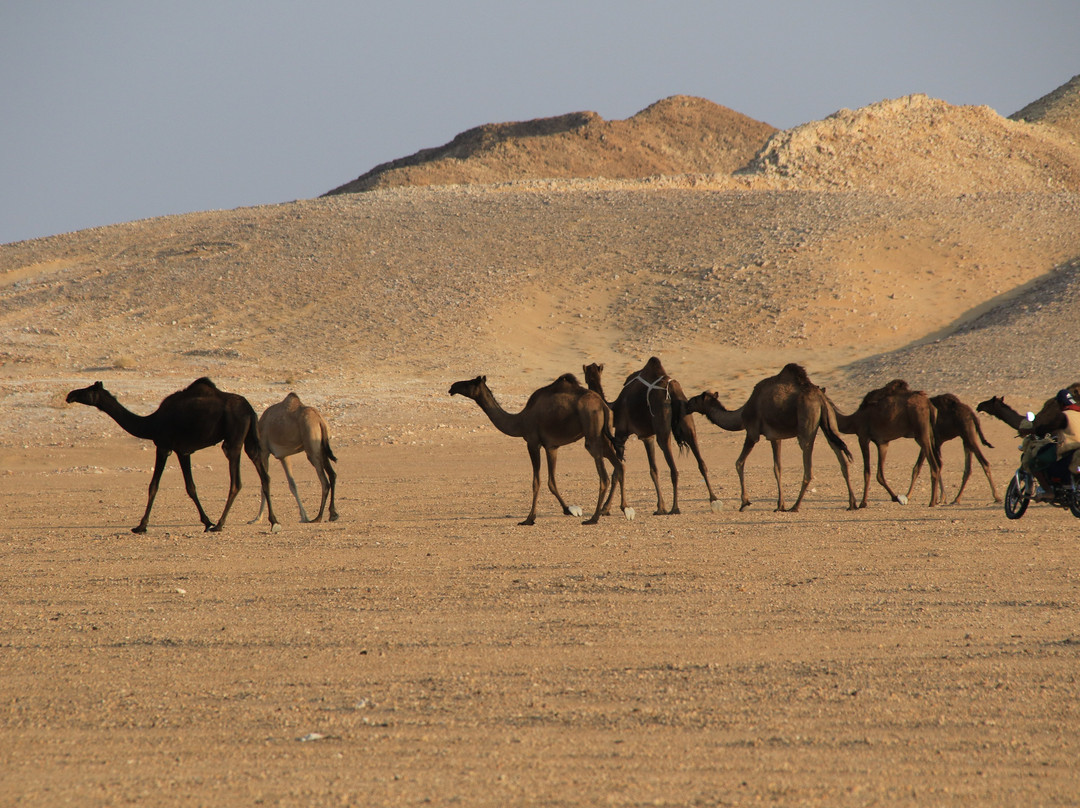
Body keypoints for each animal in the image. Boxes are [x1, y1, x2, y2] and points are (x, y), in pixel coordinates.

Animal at [64, 378, 278, 533]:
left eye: (87, 390)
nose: (69, 395)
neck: (151, 423)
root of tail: (250, 409)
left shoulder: (163, 446)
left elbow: (154, 486)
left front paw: (141, 526)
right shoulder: (183, 450)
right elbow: (191, 487)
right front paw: (206, 521)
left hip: (233, 439)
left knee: (236, 482)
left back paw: (220, 524)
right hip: (250, 439)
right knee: (265, 475)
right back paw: (274, 522)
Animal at [250, 391, 339, 524]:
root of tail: (320, 420)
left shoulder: (264, 452)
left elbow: (264, 484)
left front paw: (257, 518)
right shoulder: (283, 456)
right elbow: (292, 484)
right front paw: (304, 516)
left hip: (312, 450)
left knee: (324, 482)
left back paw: (318, 517)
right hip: (321, 448)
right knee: (332, 475)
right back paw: (332, 514)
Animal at [447, 373, 626, 527]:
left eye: (470, 382)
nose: (452, 386)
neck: (519, 420)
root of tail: (603, 405)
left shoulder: (532, 443)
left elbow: (536, 481)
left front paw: (529, 519)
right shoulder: (551, 447)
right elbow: (551, 481)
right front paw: (568, 510)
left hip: (592, 433)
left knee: (604, 476)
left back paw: (594, 518)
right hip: (604, 435)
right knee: (620, 465)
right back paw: (622, 508)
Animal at [583, 360, 717, 518]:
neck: (613, 405)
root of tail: (673, 390)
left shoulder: (621, 433)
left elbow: (617, 471)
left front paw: (607, 508)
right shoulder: (648, 437)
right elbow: (653, 470)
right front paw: (660, 507)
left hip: (662, 425)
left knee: (674, 468)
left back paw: (675, 508)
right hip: (688, 420)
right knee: (701, 461)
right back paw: (714, 499)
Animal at [678, 360, 855, 512]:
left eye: (697, 398)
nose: (686, 404)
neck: (741, 415)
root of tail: (820, 398)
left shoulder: (752, 432)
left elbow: (739, 463)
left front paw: (745, 503)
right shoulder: (775, 437)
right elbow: (777, 468)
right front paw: (780, 505)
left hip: (806, 424)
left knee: (808, 467)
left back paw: (795, 506)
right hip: (829, 421)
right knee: (841, 458)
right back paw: (853, 503)